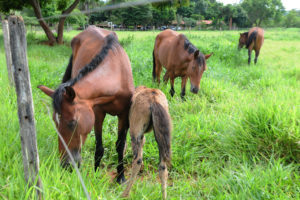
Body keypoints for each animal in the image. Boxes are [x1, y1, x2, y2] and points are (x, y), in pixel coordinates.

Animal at [37, 26, 134, 184]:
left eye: (72, 122)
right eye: (55, 123)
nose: (66, 165)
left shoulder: (124, 115)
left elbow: (120, 145)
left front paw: (121, 177)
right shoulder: (98, 113)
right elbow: (99, 147)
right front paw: (95, 174)